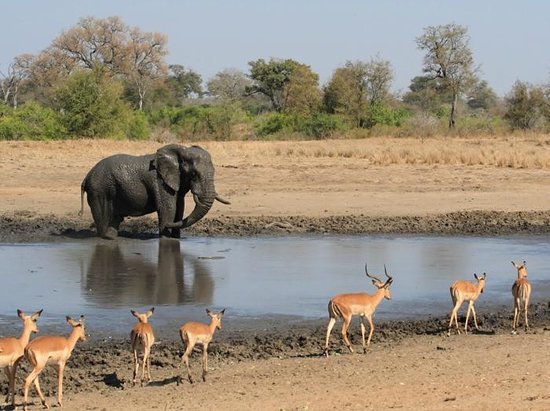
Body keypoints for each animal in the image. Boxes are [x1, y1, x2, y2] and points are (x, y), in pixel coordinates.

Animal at [80, 145, 231, 240]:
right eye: (194, 174)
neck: (181, 151)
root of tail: (86, 178)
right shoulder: (159, 181)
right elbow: (168, 209)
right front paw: (166, 239)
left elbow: (179, 209)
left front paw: (176, 238)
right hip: (99, 190)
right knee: (103, 219)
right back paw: (106, 238)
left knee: (114, 219)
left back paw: (112, 237)